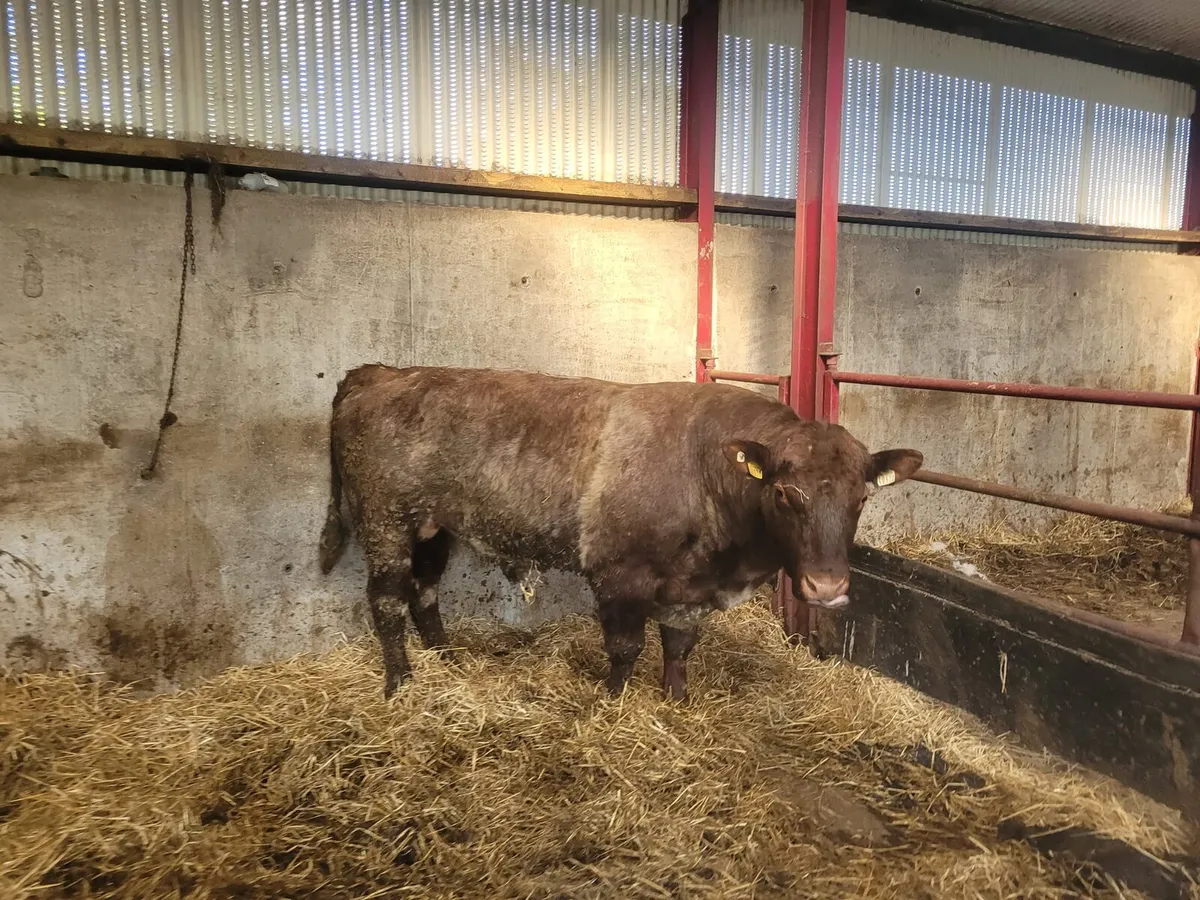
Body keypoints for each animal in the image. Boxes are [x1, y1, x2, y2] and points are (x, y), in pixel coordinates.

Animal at [319, 364, 922, 701]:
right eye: (783, 494)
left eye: (862, 497)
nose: (826, 587)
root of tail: (381, 372)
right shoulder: (618, 574)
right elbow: (626, 648)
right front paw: (610, 701)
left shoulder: (690, 588)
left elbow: (679, 646)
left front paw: (677, 701)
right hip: (385, 523)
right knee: (387, 600)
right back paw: (401, 681)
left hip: (432, 527)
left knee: (425, 592)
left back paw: (445, 659)